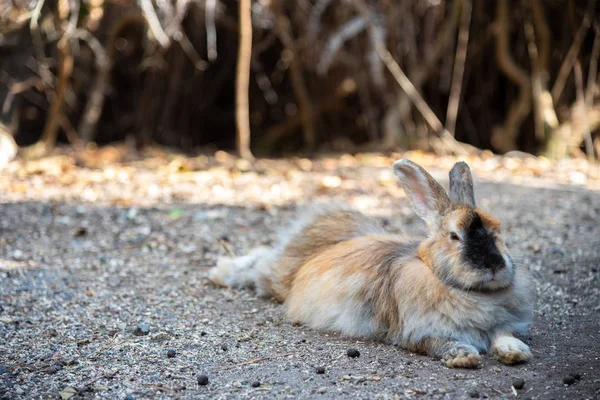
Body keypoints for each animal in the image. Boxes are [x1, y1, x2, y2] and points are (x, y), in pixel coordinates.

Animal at [210, 159, 536, 368]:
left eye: (498, 231)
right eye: (454, 236)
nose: (493, 266)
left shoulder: (501, 325)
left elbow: (503, 336)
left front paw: (517, 352)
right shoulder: (416, 332)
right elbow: (439, 343)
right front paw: (463, 356)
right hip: (276, 277)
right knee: (260, 262)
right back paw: (218, 273)